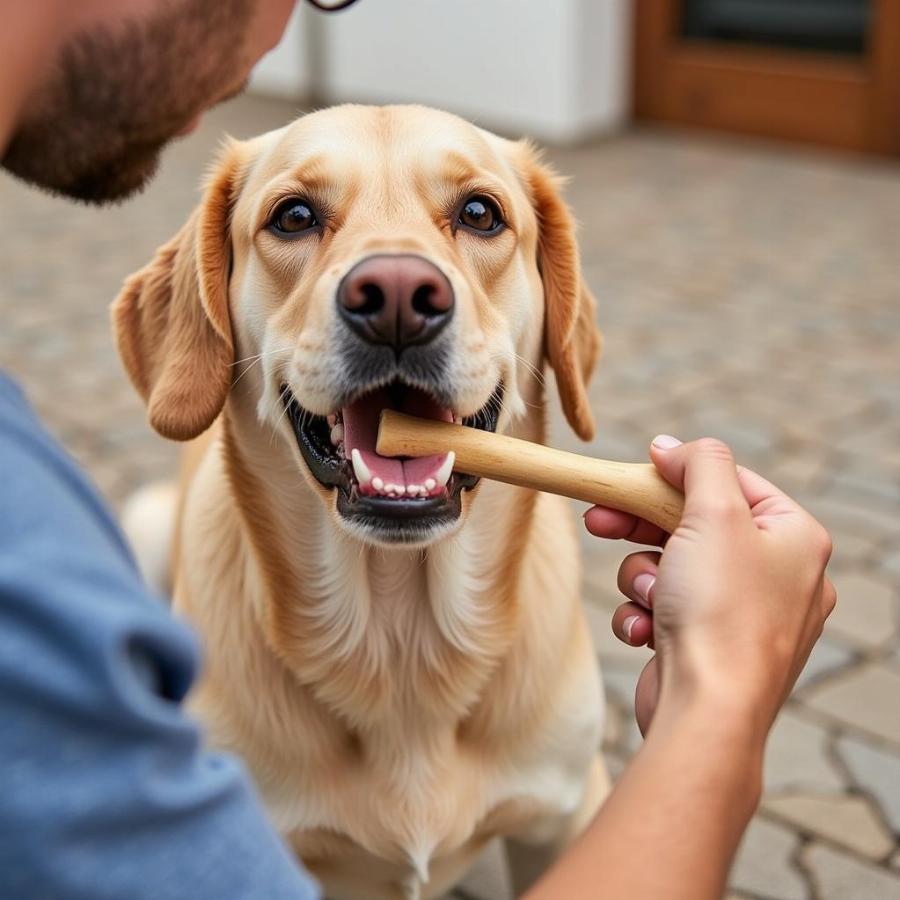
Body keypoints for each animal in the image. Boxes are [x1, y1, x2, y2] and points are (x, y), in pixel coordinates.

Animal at [110, 105, 604, 900]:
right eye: (294, 216)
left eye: (480, 213)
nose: (398, 295)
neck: (401, 646)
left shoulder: (565, 815)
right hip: (145, 521)